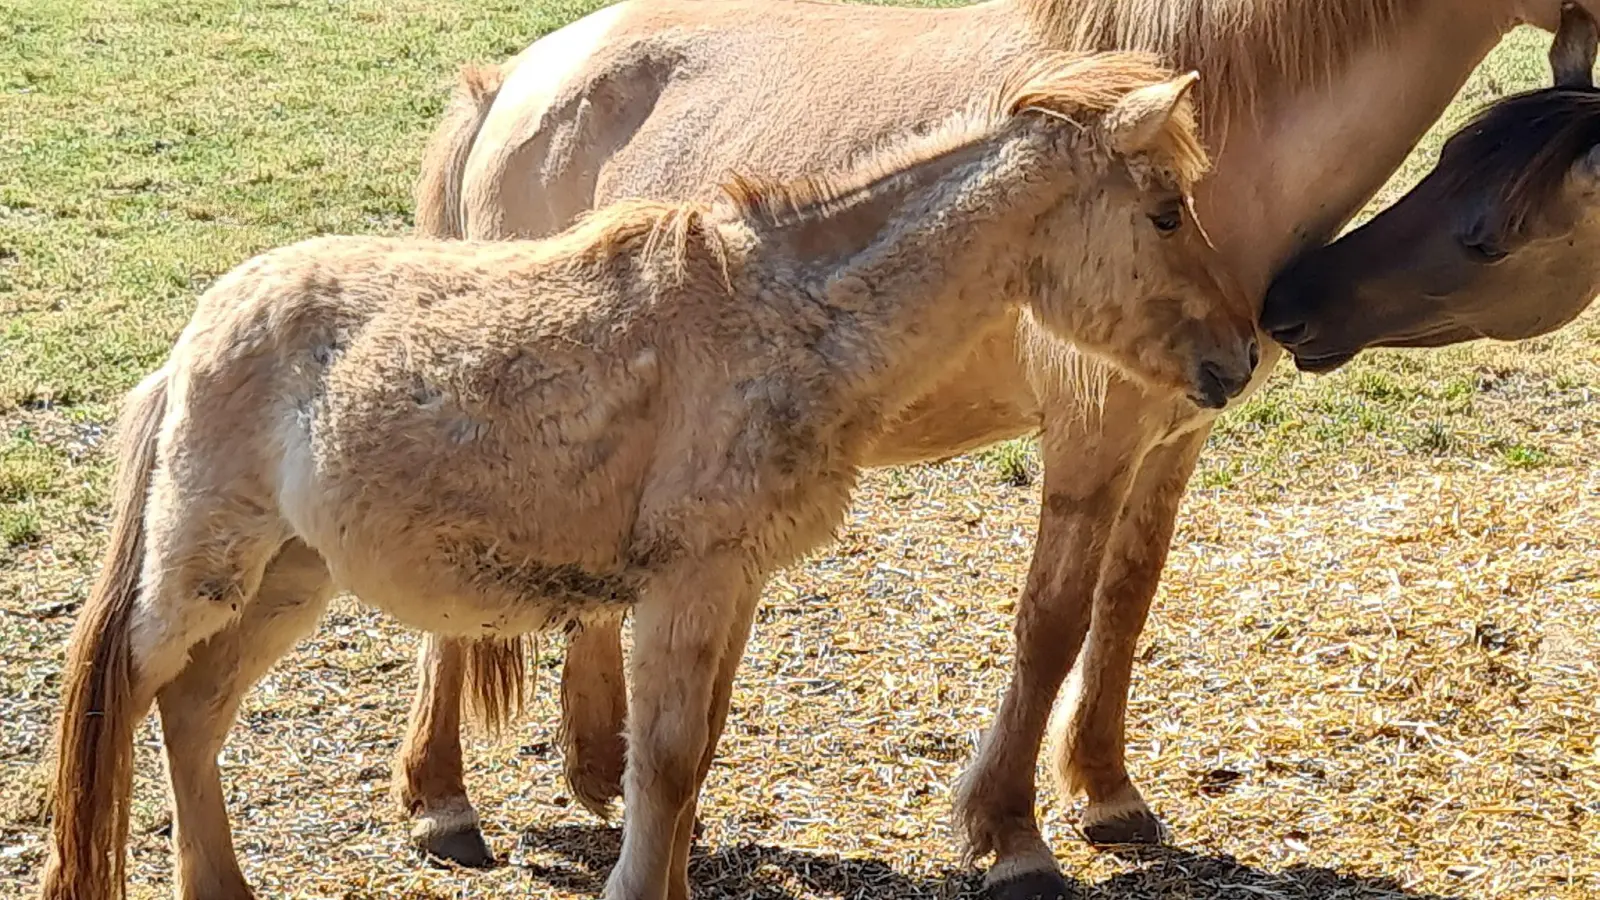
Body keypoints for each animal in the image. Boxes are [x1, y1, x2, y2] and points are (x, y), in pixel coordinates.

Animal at [39, 52, 1256, 900]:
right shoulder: (688, 585)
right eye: (1165, 210)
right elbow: (666, 765)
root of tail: (191, 342)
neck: (783, 314)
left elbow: (691, 759)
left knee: (194, 709)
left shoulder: (732, 586)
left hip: (294, 577)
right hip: (205, 567)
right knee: (128, 690)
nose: (1237, 358)